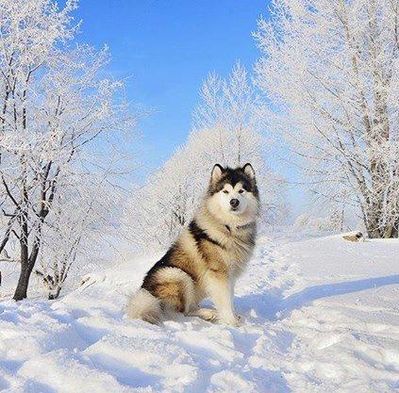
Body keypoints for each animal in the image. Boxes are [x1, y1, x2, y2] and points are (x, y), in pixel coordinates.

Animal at [126, 162, 260, 324]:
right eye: (225, 191)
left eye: (241, 191)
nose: (234, 201)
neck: (229, 227)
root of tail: (145, 294)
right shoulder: (219, 274)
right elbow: (225, 301)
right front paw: (231, 322)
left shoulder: (231, 275)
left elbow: (230, 299)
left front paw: (233, 316)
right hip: (177, 274)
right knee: (182, 312)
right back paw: (207, 313)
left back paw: (210, 313)